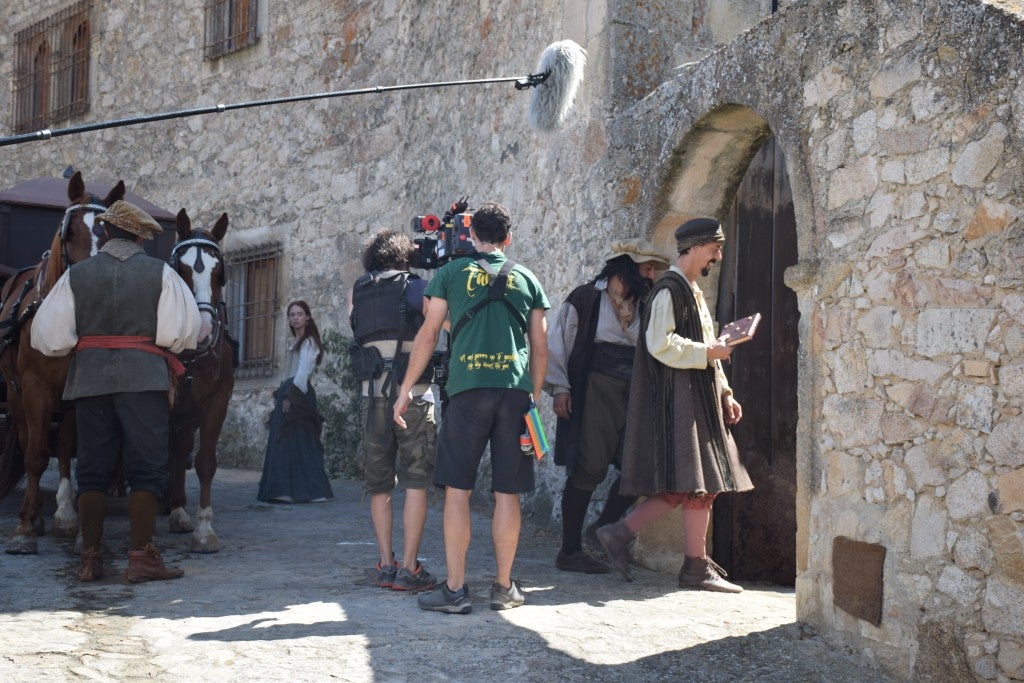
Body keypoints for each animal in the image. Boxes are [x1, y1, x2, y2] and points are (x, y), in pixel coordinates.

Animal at [0, 172, 124, 557]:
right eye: (69, 233)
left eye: (111, 234)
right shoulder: (35, 389)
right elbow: (37, 454)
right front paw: (26, 528)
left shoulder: (81, 391)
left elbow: (76, 451)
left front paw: (77, 523)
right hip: (15, 393)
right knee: (27, 439)